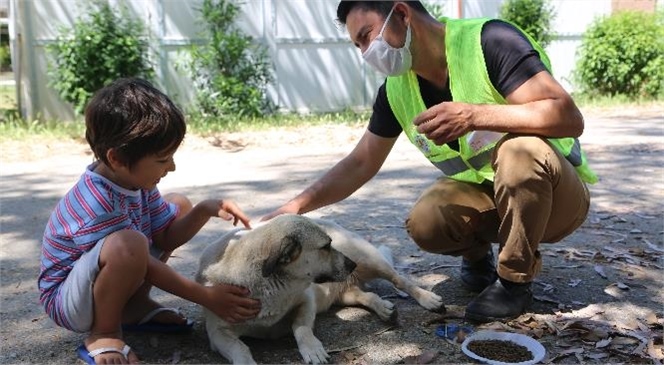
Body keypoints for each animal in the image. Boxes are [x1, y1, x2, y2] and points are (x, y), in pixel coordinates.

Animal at [197, 215, 446, 362]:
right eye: (325, 246)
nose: (351, 265)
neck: (271, 287)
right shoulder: (217, 333)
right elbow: (241, 350)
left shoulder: (306, 301)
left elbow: (301, 328)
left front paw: (312, 349)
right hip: (344, 293)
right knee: (366, 295)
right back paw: (384, 309)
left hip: (371, 260)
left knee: (400, 280)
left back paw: (427, 299)